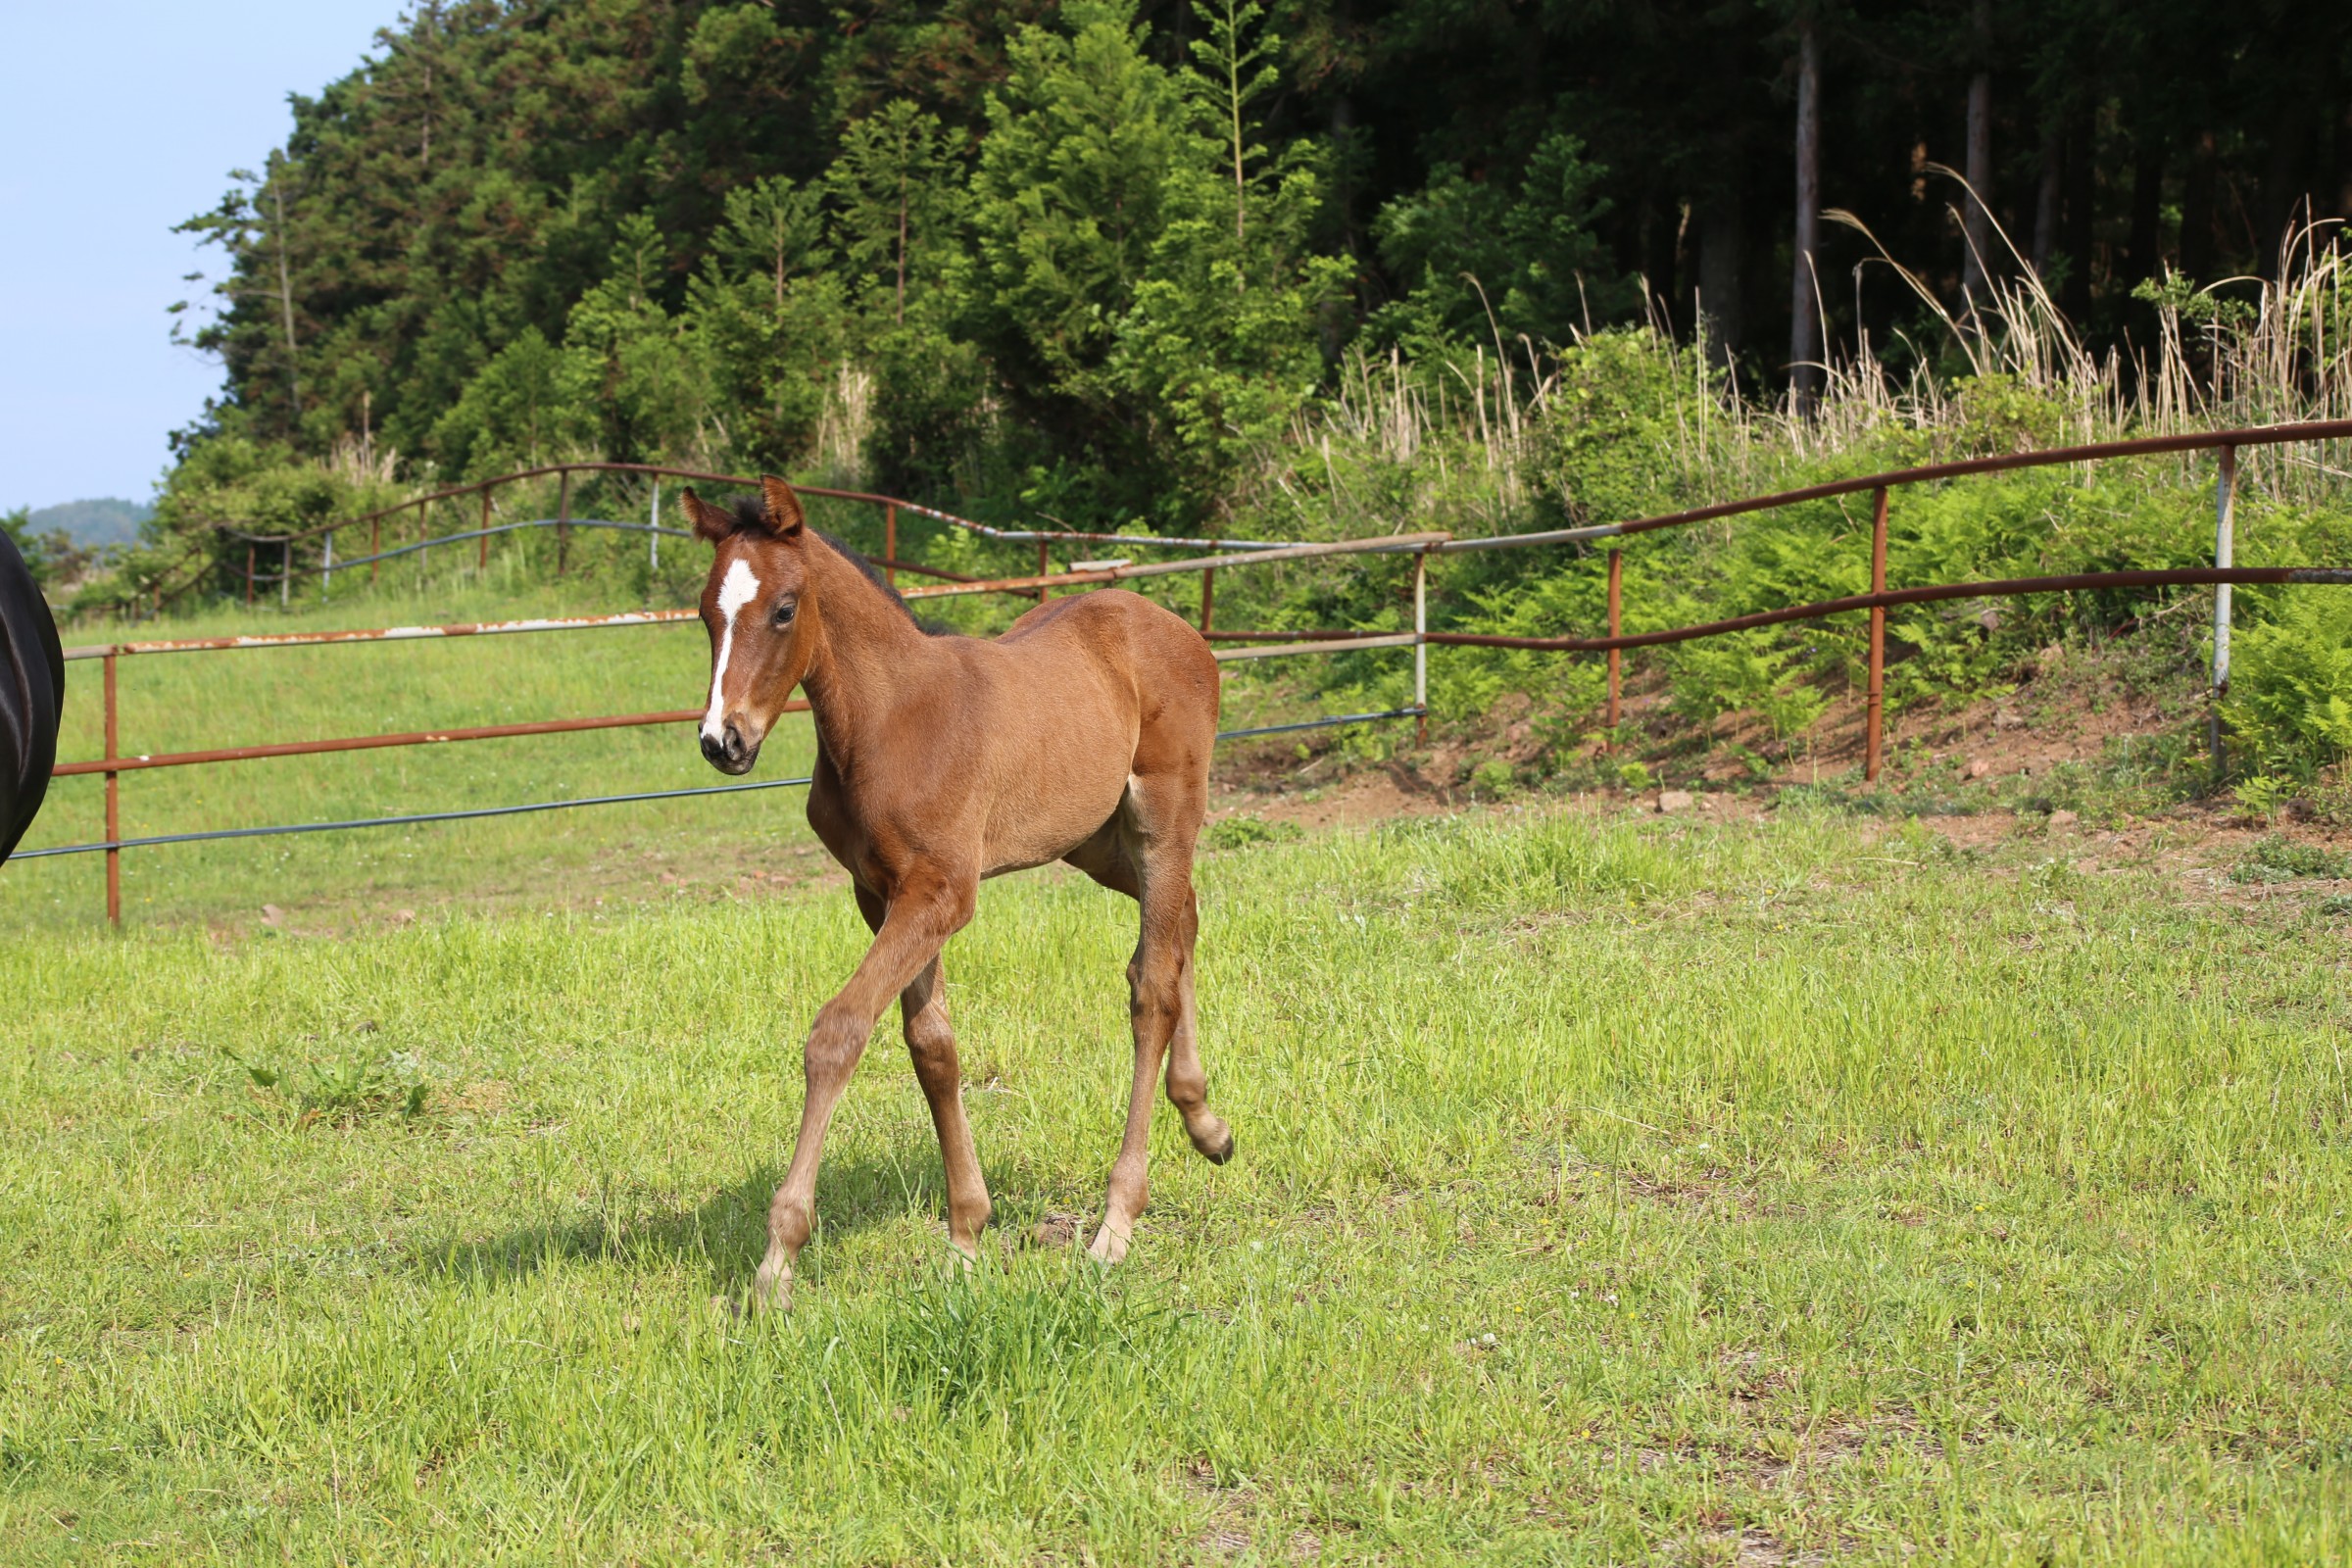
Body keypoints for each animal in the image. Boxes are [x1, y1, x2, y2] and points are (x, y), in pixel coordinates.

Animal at [682, 476, 1232, 1306]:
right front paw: (966, 1237)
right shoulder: (883, 895)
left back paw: (1115, 1225)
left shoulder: (940, 895)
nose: (725, 742)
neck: (890, 719)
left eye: (783, 609)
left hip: (1162, 823)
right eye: (706, 612)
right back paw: (1206, 1124)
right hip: (1096, 843)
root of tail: (1178, 629)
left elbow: (838, 1033)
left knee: (1153, 988)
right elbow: (932, 1047)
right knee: (1181, 930)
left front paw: (777, 1259)